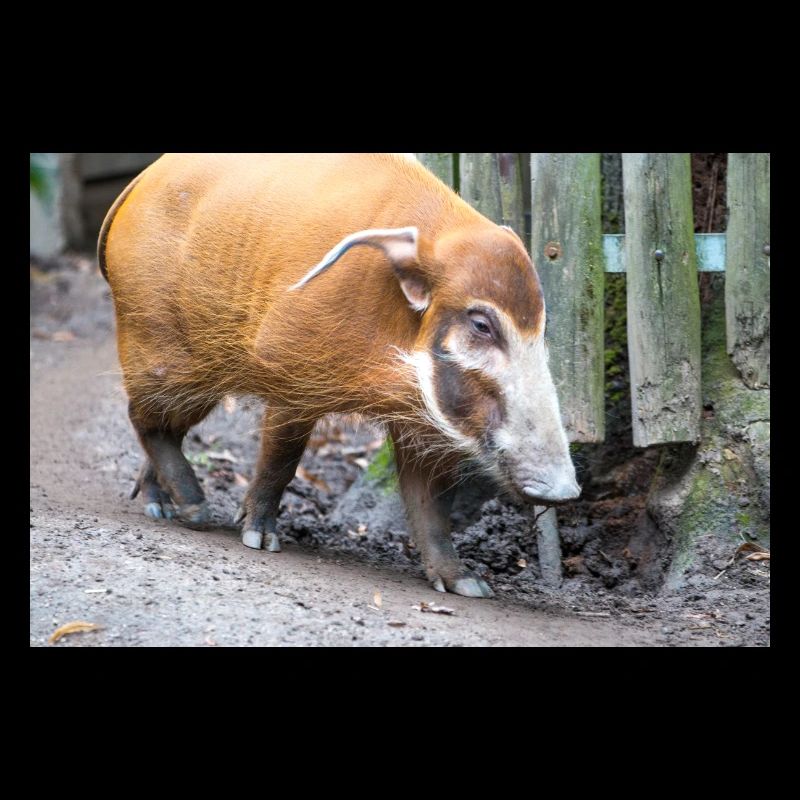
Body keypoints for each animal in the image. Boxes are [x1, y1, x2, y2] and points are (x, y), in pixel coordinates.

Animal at [99, 153, 580, 598]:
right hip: (161, 347)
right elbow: (282, 459)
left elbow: (429, 504)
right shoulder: (289, 370)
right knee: (142, 417)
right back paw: (196, 513)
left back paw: (164, 509)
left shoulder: (419, 417)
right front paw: (259, 540)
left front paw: (469, 586)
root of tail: (138, 182)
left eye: (541, 326)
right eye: (481, 324)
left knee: (165, 426)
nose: (565, 490)